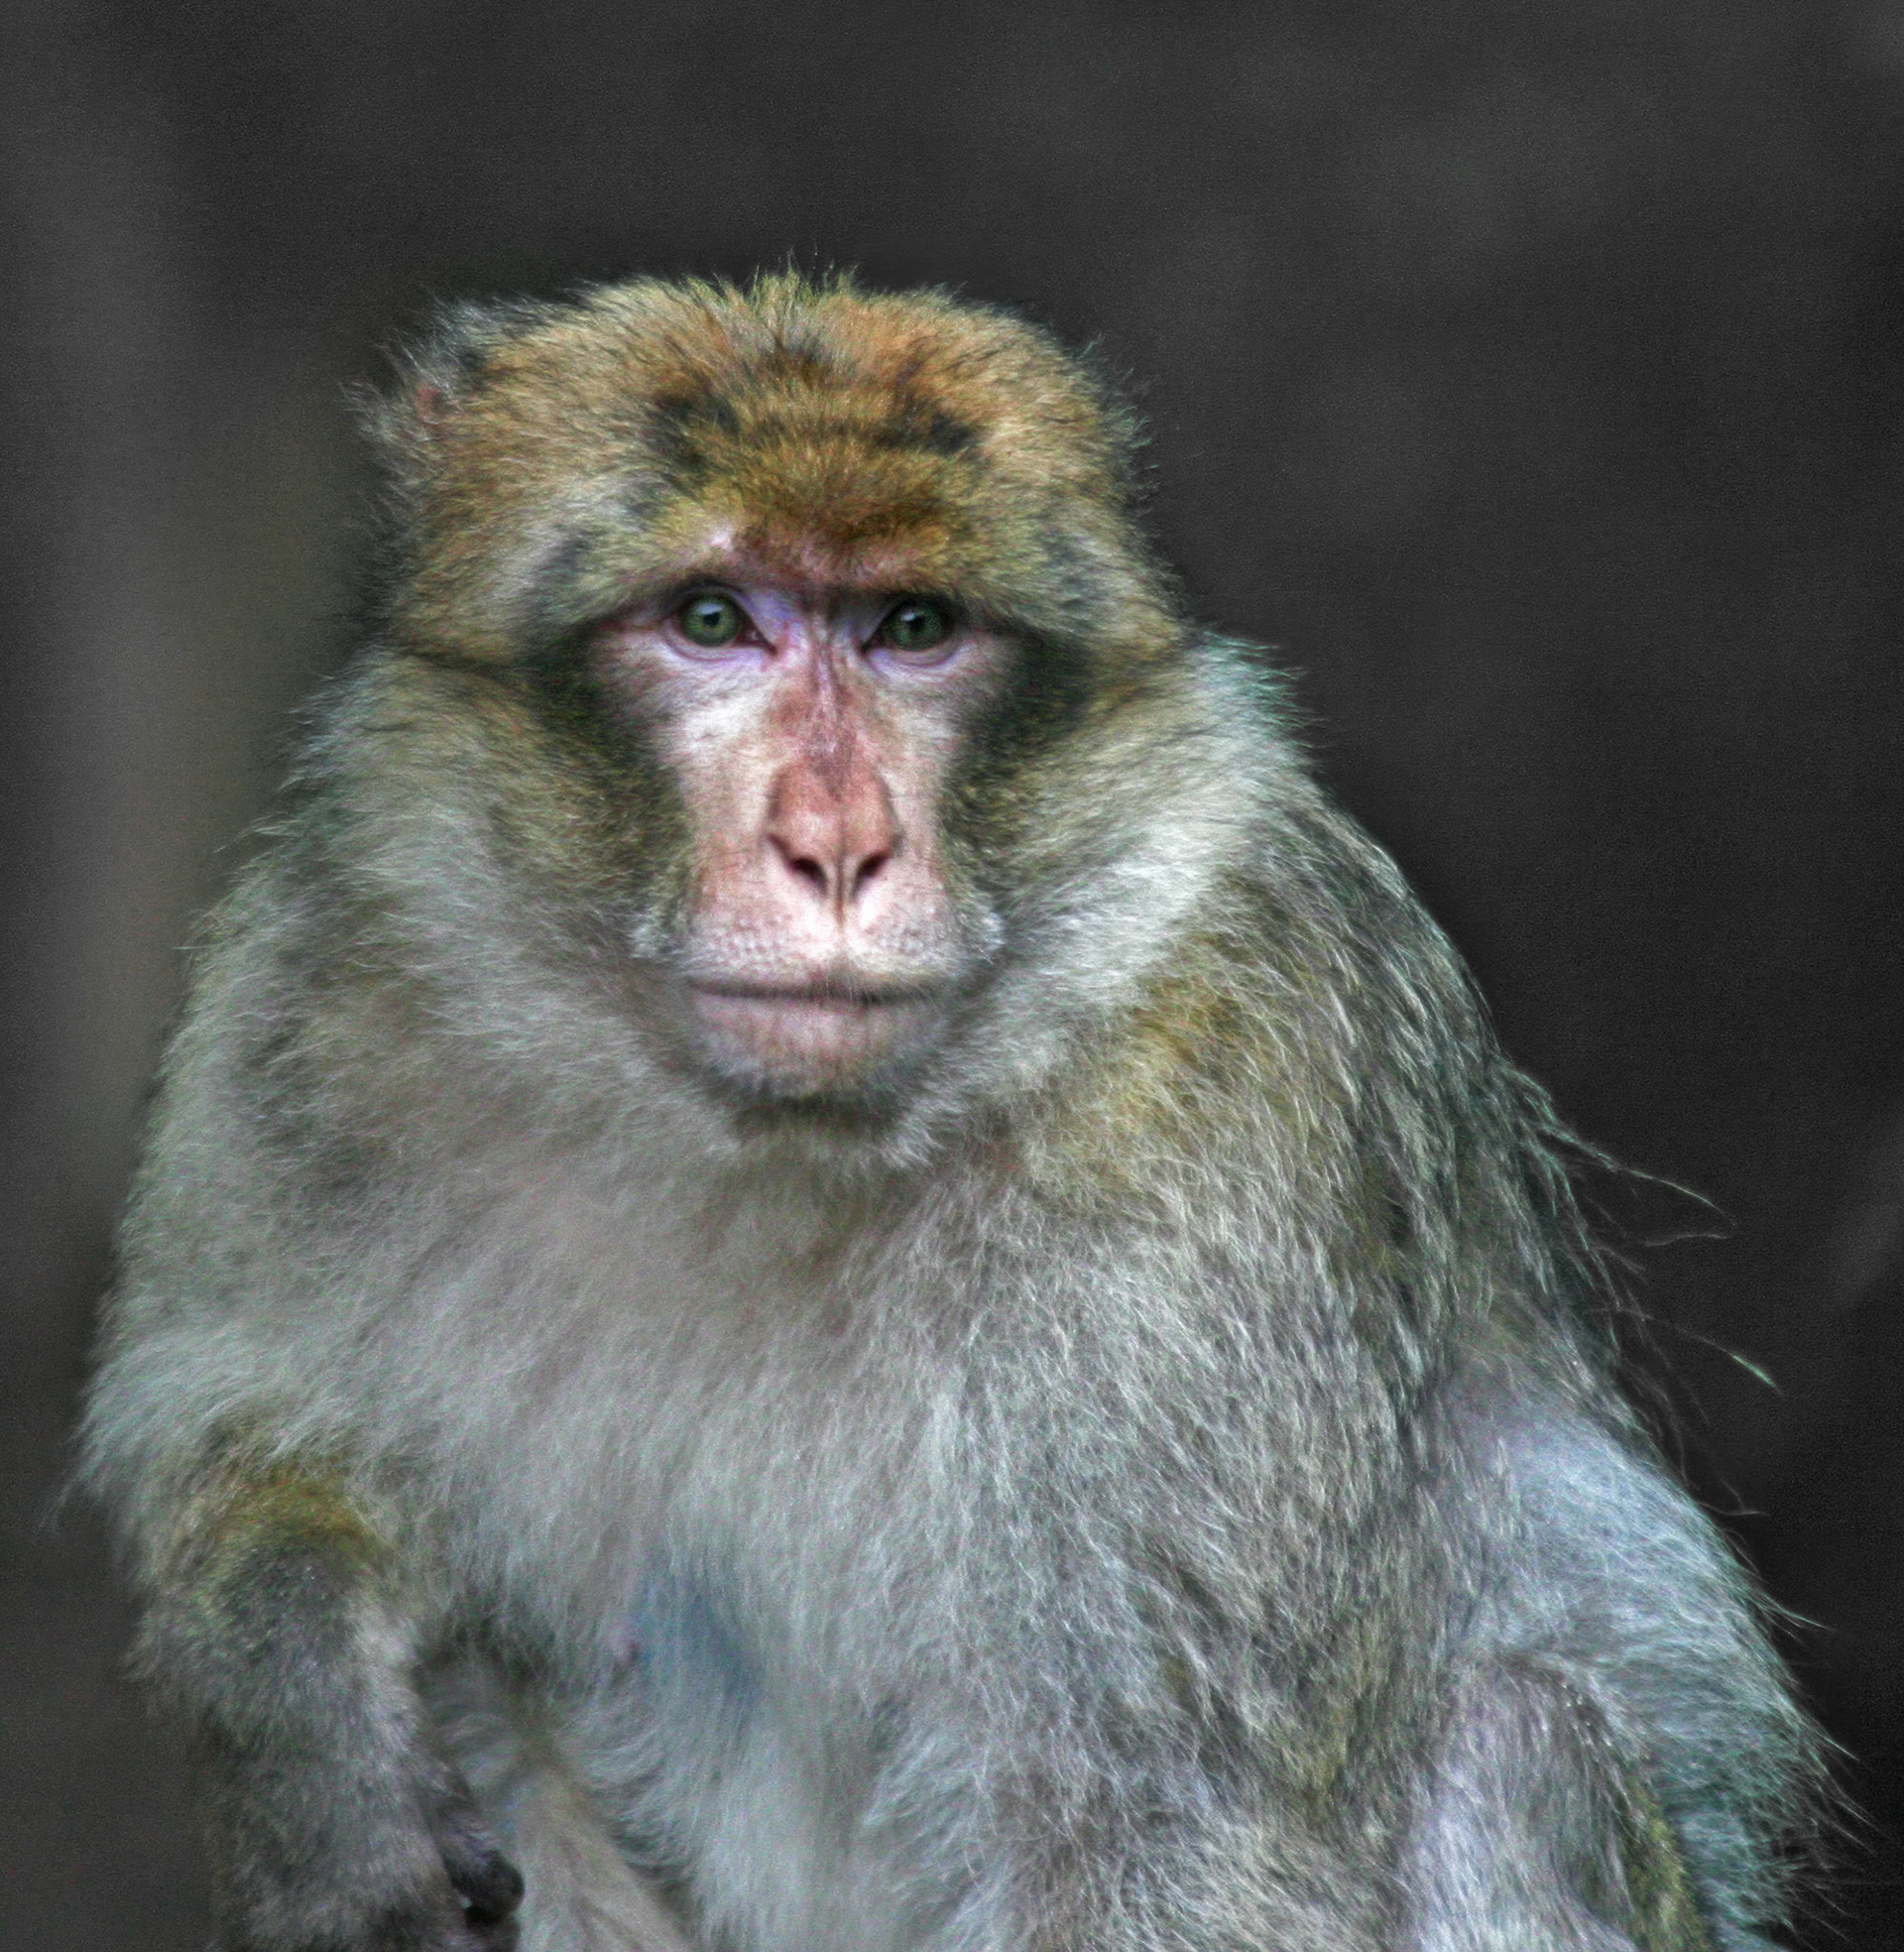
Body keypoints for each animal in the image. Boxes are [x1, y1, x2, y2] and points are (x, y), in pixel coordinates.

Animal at [81, 273, 1818, 1952]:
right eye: (712, 621)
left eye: (914, 629)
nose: (838, 846)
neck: (764, 1156)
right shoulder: (310, 1001)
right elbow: (237, 1419)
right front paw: (297, 1687)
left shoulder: (1227, 1124)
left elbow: (1161, 1829)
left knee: (1511, 1743)